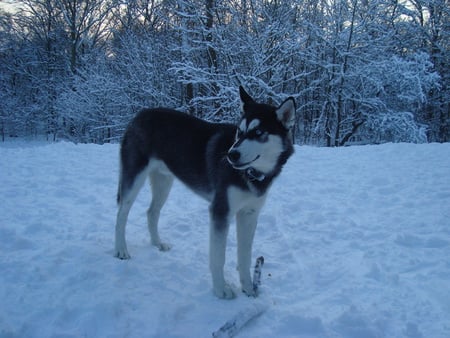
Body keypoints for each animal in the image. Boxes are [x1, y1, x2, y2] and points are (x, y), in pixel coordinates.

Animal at [114, 87, 294, 298]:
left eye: (258, 132)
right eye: (240, 132)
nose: (231, 155)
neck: (251, 174)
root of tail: (141, 113)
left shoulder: (249, 214)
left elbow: (245, 256)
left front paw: (249, 288)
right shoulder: (220, 211)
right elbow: (218, 257)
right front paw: (220, 289)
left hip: (164, 182)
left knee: (152, 212)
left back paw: (157, 243)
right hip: (134, 178)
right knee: (121, 214)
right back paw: (121, 250)